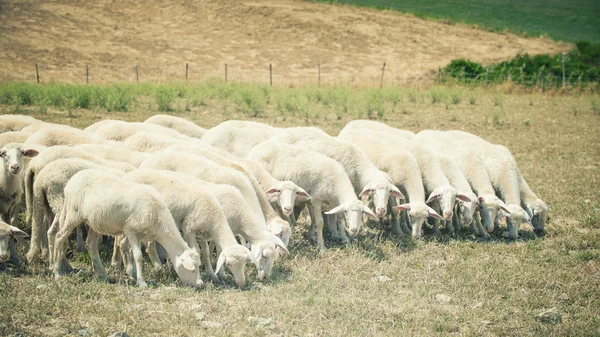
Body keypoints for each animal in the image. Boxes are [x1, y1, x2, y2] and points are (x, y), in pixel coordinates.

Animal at [53, 168, 200, 286]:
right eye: (193, 269)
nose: (199, 284)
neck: (158, 219)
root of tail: (71, 181)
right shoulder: (131, 229)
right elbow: (138, 256)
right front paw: (141, 282)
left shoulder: (138, 233)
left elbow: (129, 251)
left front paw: (133, 275)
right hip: (73, 214)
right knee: (59, 237)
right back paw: (57, 273)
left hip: (94, 221)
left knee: (91, 245)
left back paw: (104, 275)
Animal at [124, 169, 258, 284]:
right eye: (229, 264)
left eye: (245, 263)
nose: (241, 283)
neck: (214, 215)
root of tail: (130, 174)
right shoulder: (189, 229)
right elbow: (196, 251)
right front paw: (200, 278)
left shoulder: (203, 234)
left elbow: (206, 252)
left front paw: (212, 274)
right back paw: (132, 271)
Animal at [246, 138, 378, 251]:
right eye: (347, 211)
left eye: (362, 213)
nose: (354, 230)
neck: (337, 182)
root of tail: (256, 148)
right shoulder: (316, 200)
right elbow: (319, 222)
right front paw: (321, 247)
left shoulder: (323, 202)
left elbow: (336, 220)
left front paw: (343, 238)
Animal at [340, 127, 472, 235]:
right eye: (411, 216)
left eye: (455, 198)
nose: (448, 214)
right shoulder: (396, 188)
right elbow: (396, 210)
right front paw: (401, 229)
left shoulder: (406, 190)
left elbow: (406, 206)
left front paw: (410, 227)